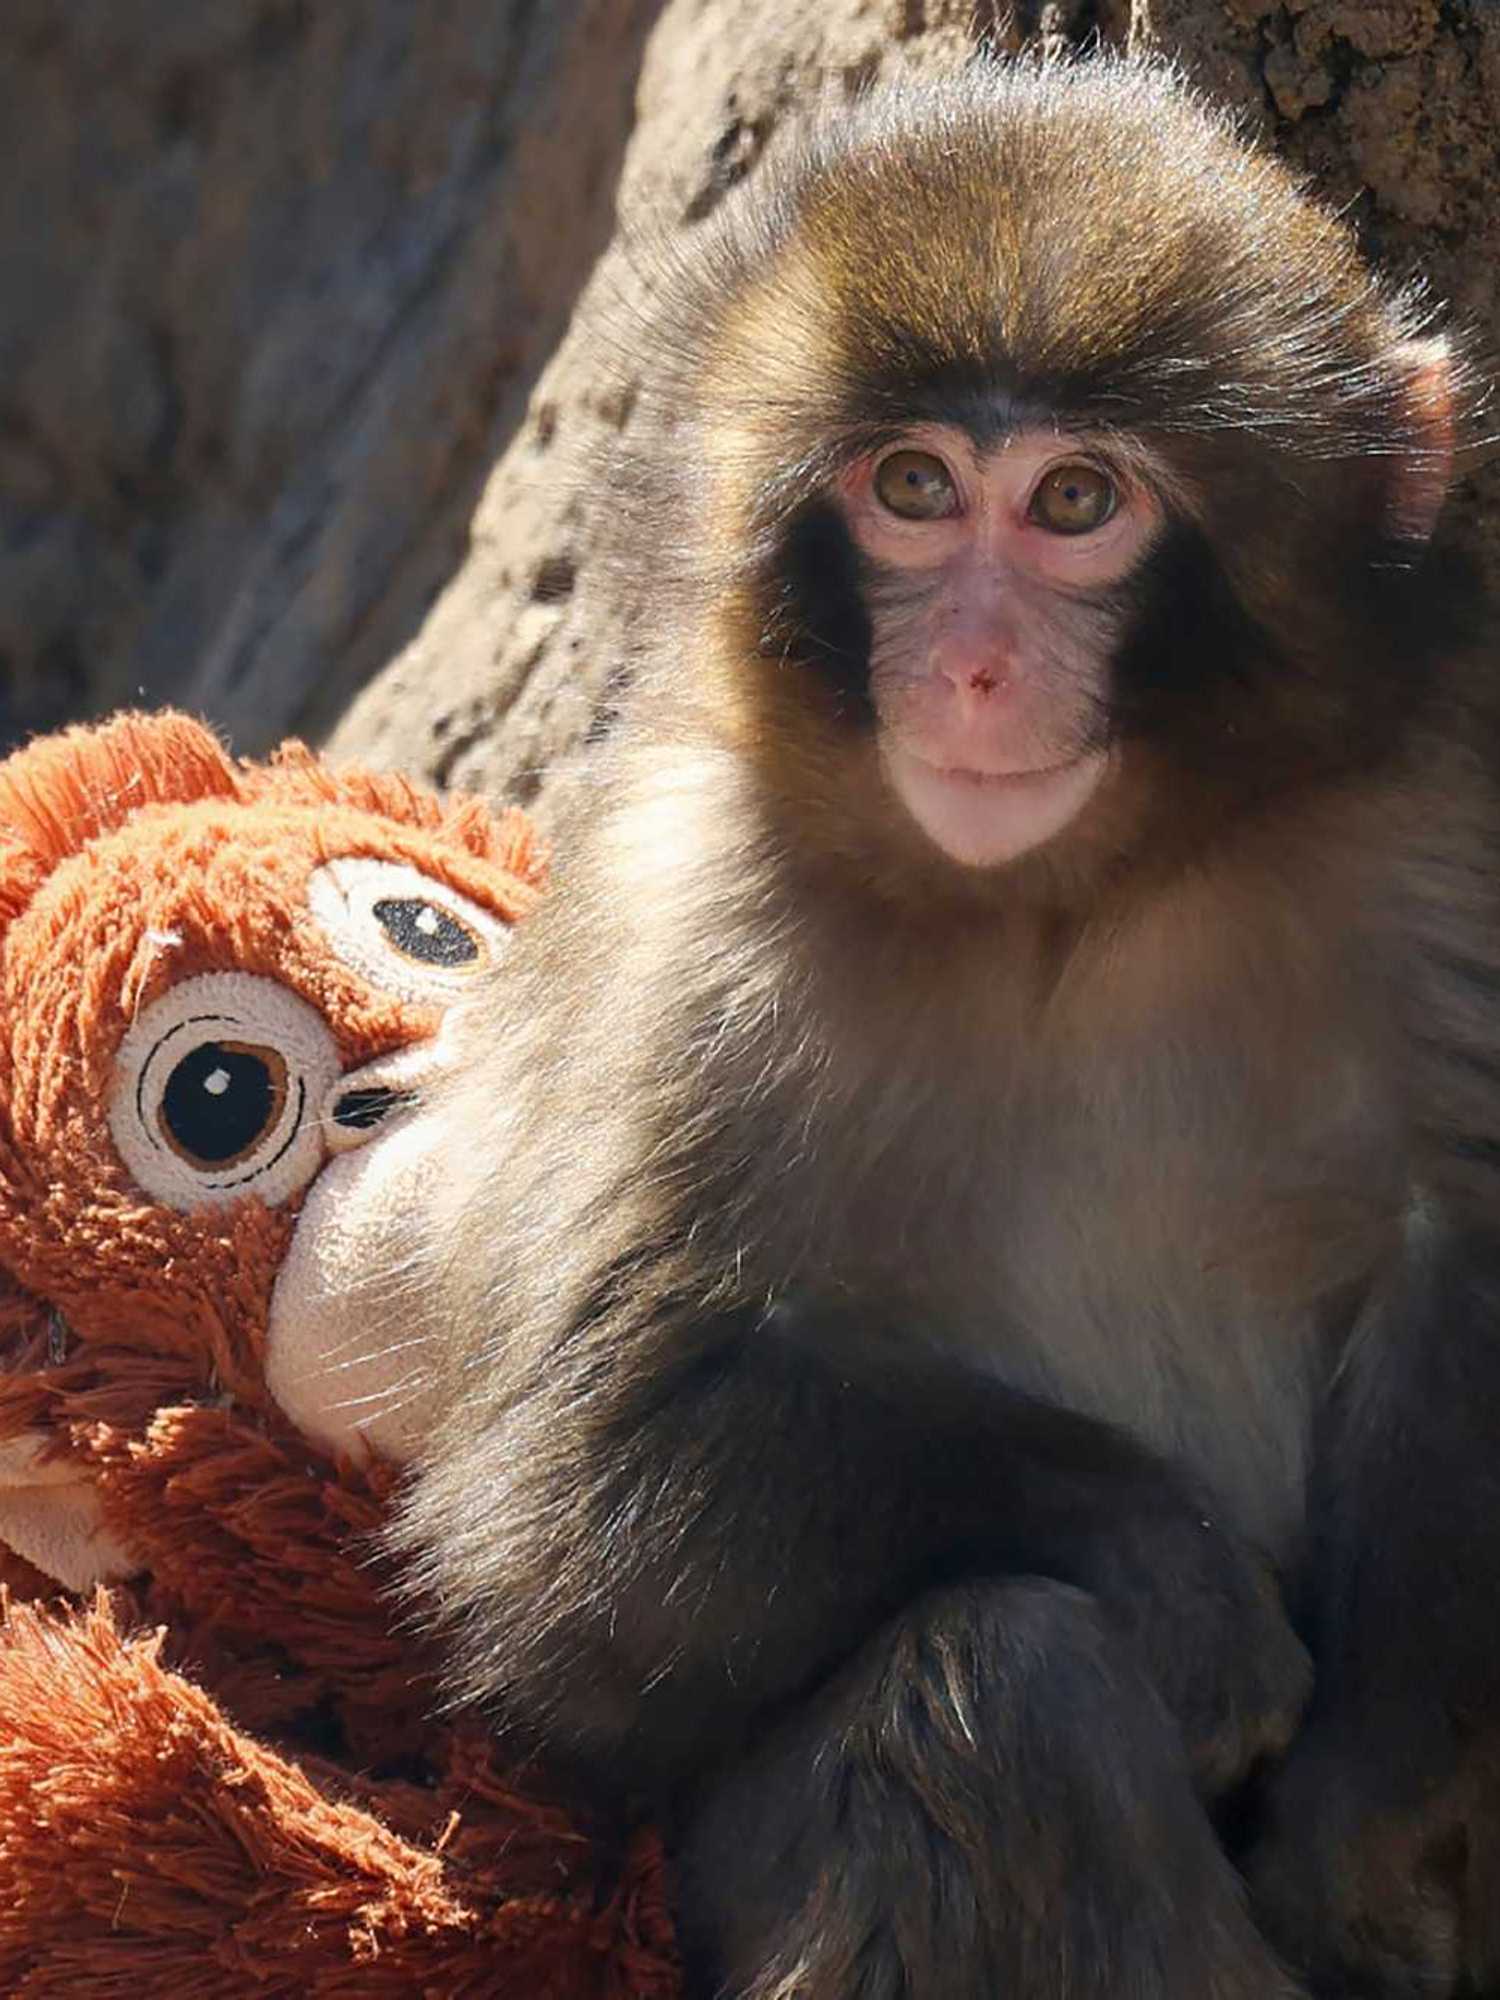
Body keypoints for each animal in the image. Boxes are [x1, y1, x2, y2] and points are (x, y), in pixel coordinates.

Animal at [381, 54, 1500, 2000]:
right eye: (912, 486)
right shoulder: (688, 923)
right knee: (1001, 1692)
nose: (972, 669)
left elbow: (1468, 1242)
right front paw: (1173, 1574)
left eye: (1073, 503)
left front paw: (1364, 1819)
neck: (1071, 901)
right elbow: (573, 1497)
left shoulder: (1435, 818)